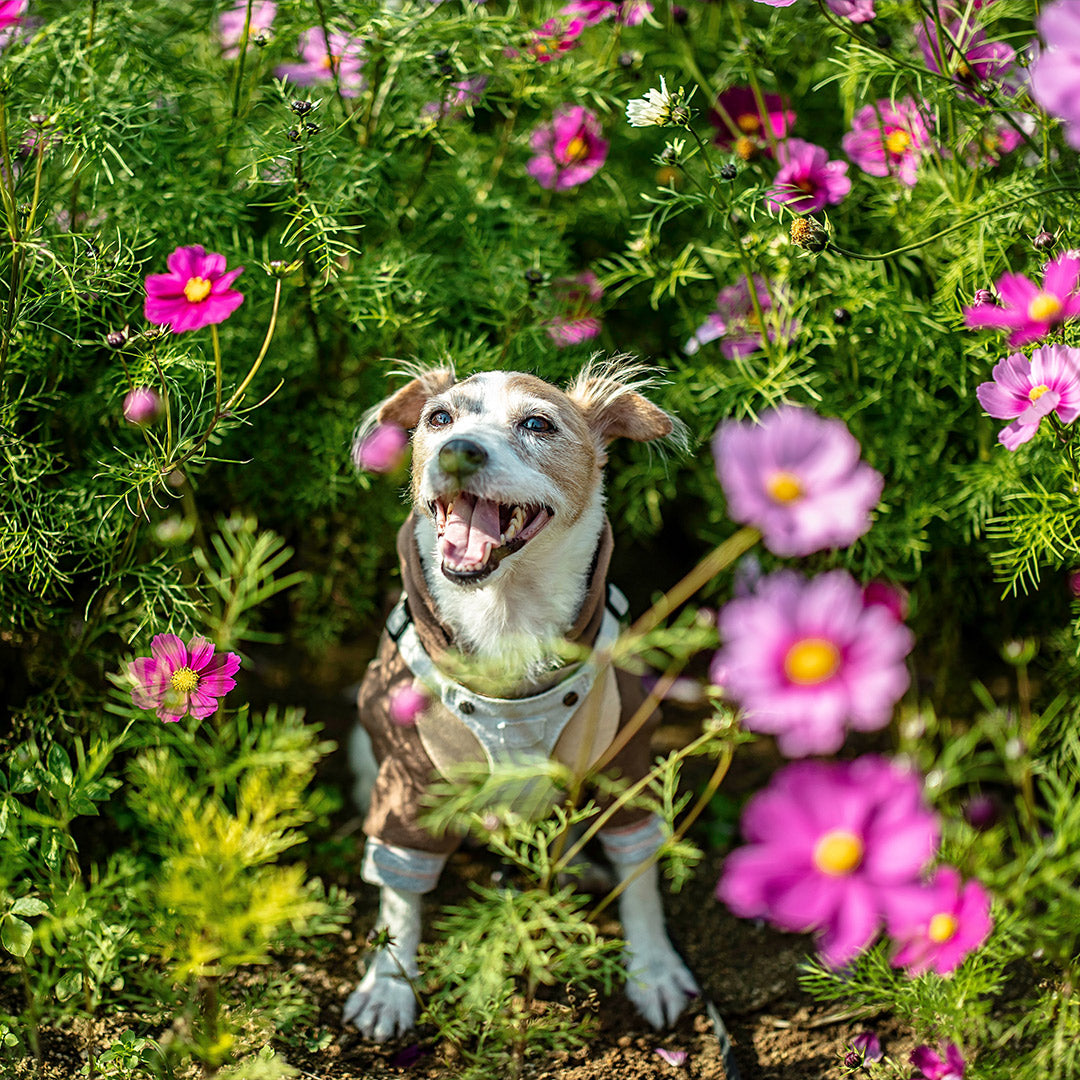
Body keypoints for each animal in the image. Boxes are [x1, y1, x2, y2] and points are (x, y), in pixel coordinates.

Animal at [345, 362, 699, 1045]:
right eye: (439, 419)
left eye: (537, 423)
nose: (458, 450)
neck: (506, 621)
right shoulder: (407, 784)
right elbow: (399, 894)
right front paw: (389, 986)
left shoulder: (625, 765)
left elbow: (640, 874)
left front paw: (654, 970)